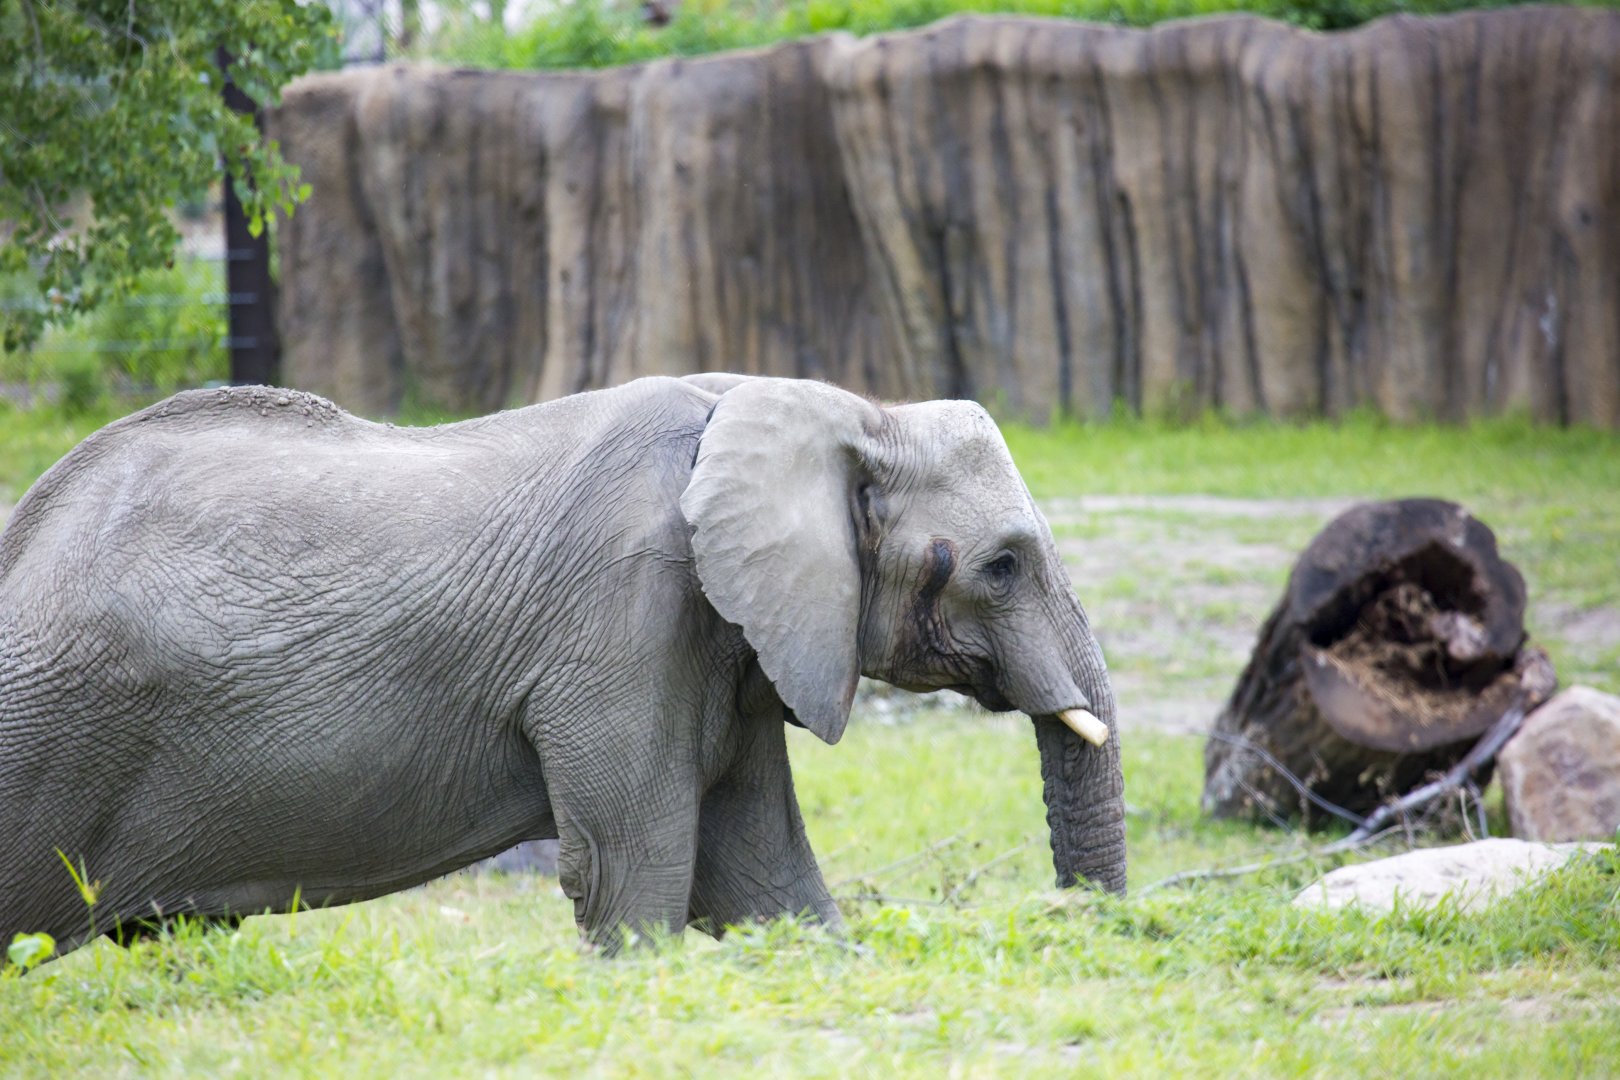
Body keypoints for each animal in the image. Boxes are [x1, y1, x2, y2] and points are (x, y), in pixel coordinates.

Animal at [0, 374, 1125, 961]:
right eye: (1002, 565)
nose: (1080, 923)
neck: (827, 409)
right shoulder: (628, 621)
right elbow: (632, 872)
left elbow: (765, 878)